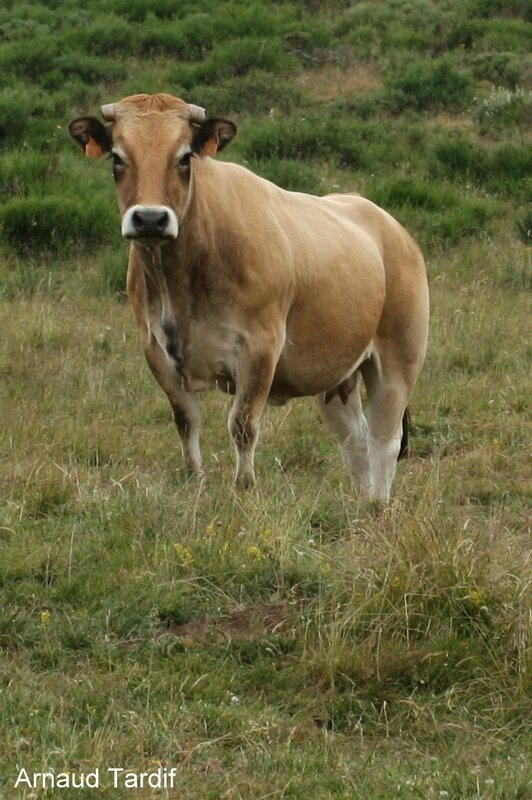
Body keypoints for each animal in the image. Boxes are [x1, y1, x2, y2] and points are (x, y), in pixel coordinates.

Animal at [68, 94, 430, 500]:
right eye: (117, 157)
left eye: (184, 157)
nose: (149, 219)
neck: (179, 280)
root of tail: (388, 223)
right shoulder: (156, 349)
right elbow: (186, 420)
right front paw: (197, 484)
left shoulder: (260, 348)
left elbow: (242, 425)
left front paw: (244, 489)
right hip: (336, 375)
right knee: (355, 440)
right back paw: (362, 505)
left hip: (399, 358)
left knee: (385, 438)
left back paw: (378, 505)